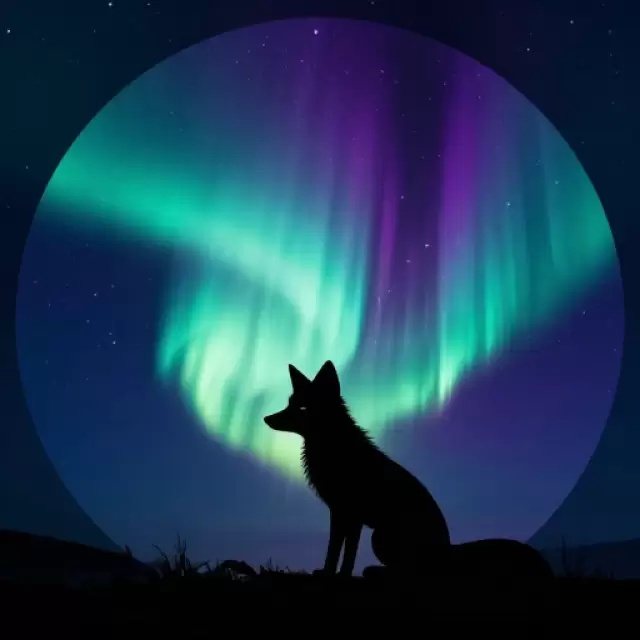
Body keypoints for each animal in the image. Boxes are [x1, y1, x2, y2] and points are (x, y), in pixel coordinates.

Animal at [264, 360, 554, 580]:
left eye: (302, 407)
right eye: (289, 403)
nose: (266, 419)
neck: (331, 446)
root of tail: (449, 550)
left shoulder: (349, 513)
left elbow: (341, 553)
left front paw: (334, 575)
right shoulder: (343, 514)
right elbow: (338, 552)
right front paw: (331, 573)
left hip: (380, 537)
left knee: (414, 572)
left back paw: (375, 571)